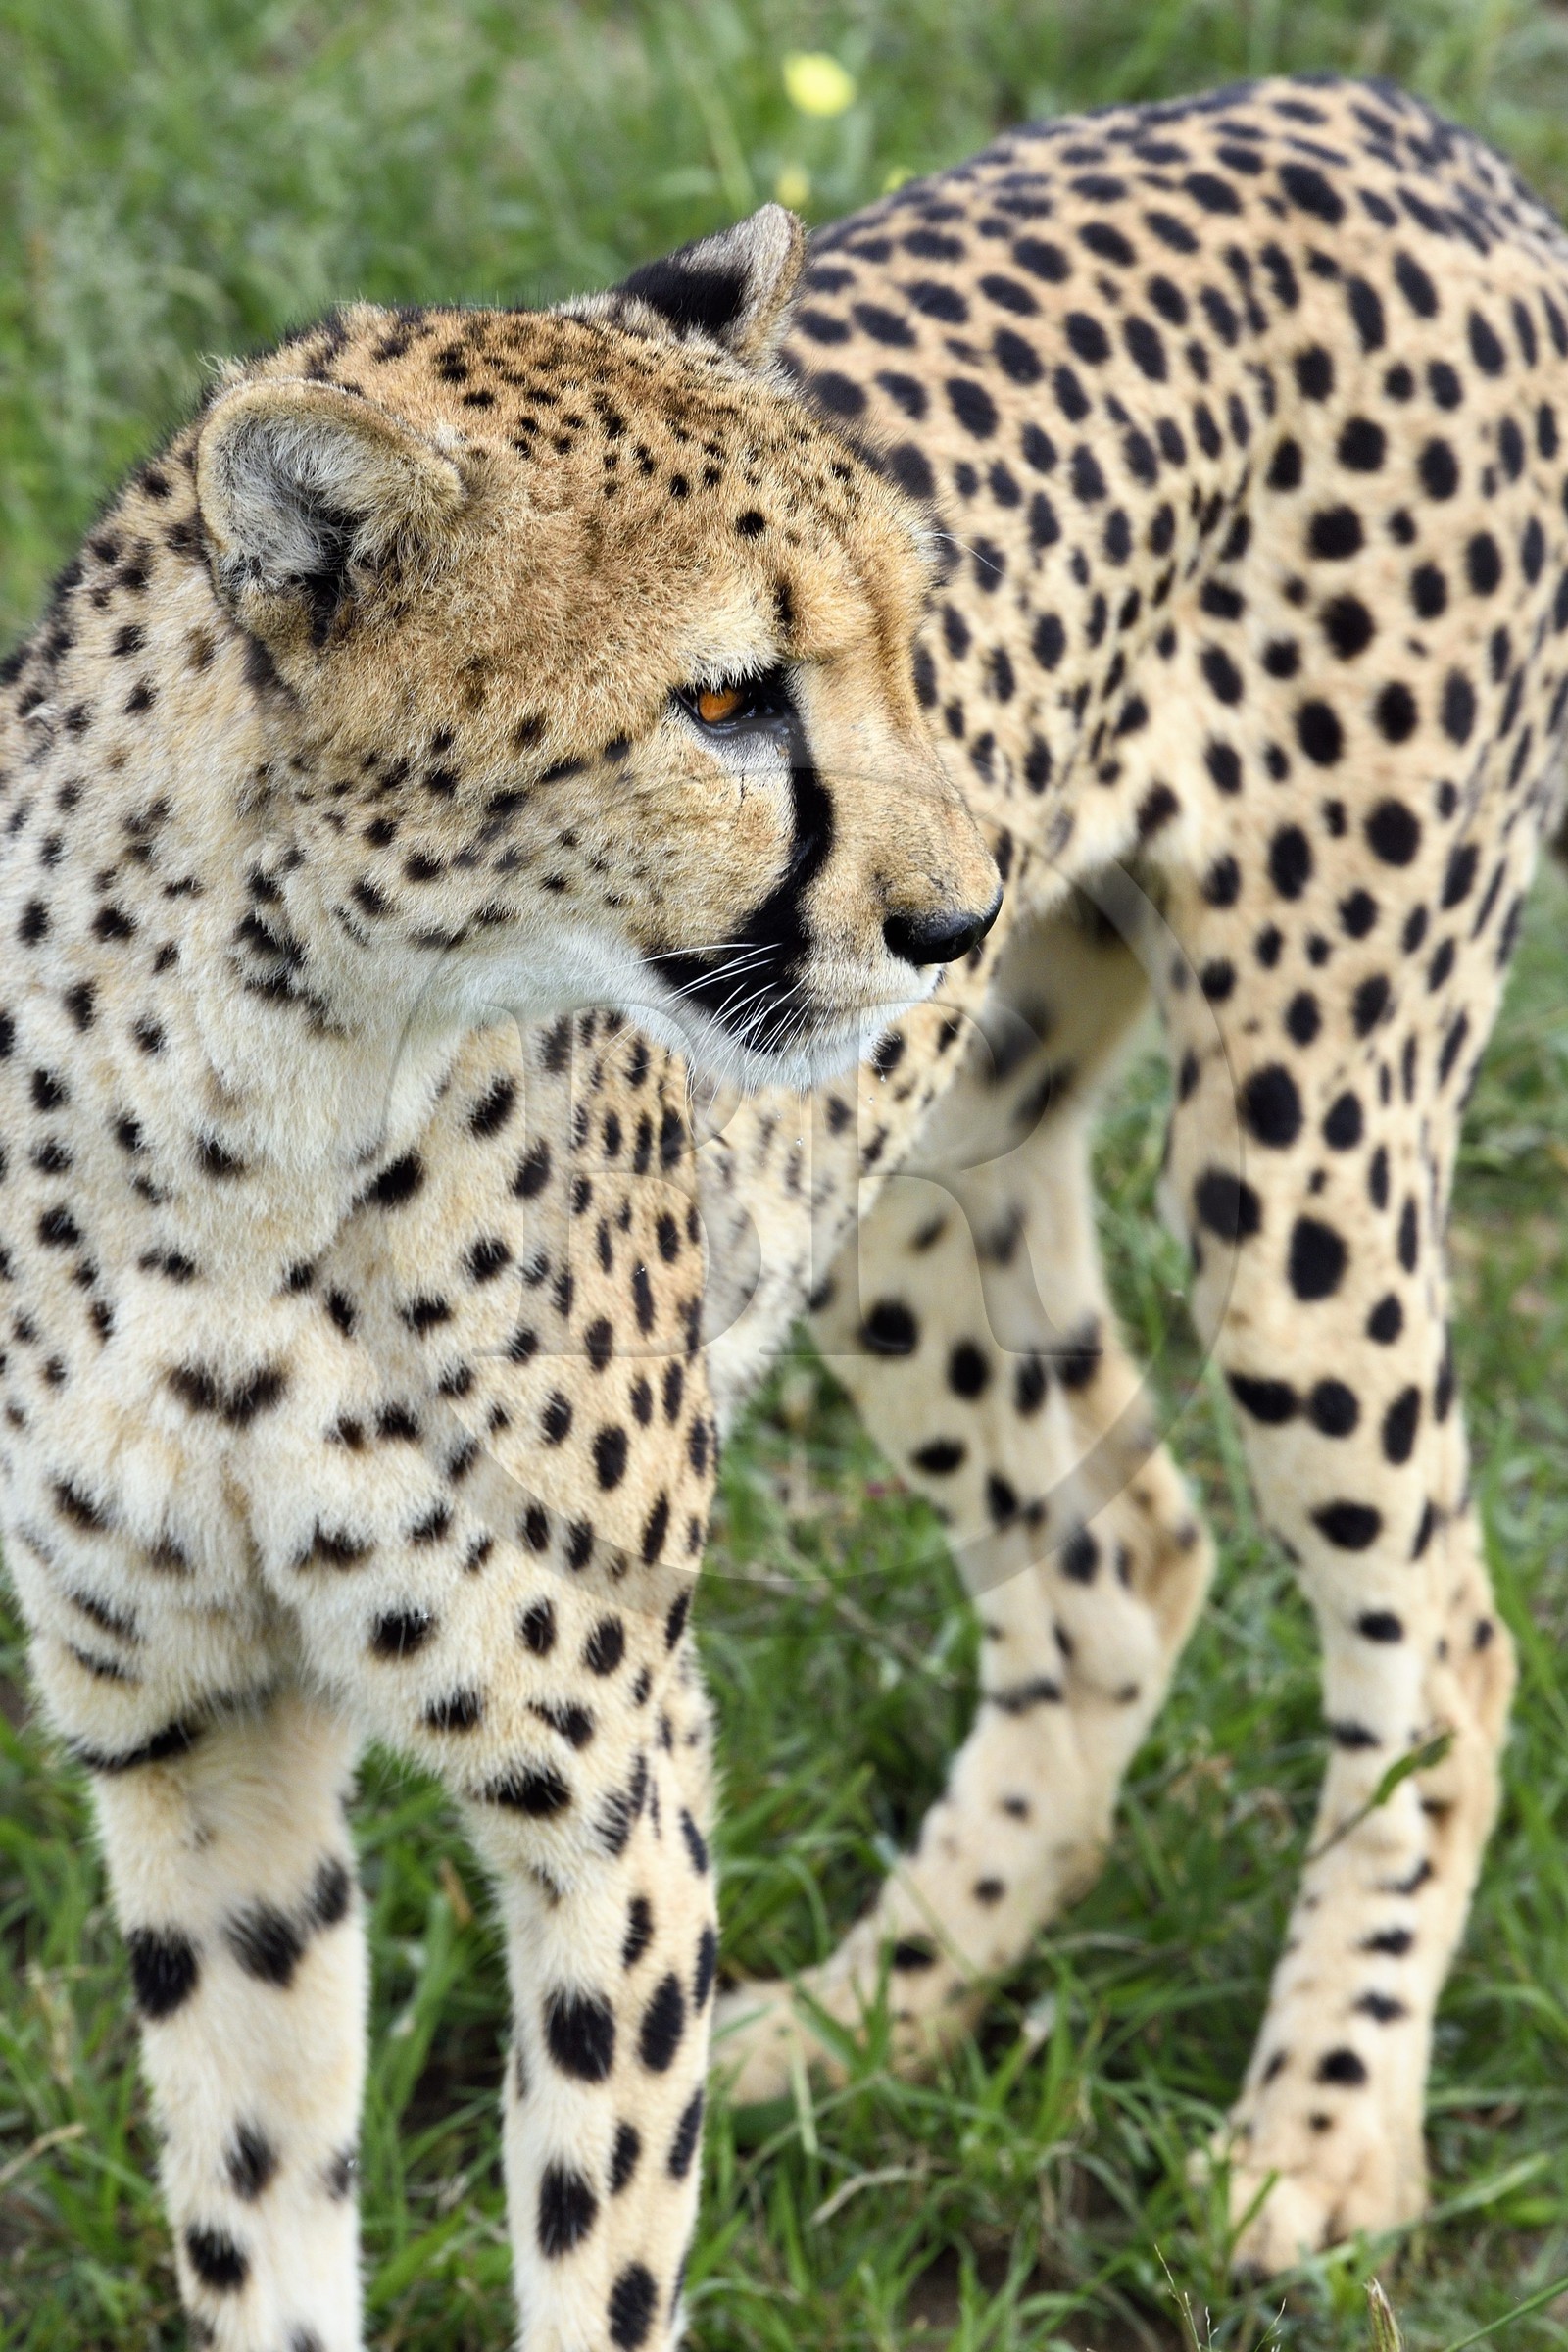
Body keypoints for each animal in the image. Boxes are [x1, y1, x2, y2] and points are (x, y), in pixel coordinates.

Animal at [3, 65, 1564, 2349]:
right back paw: (863, 2020)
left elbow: (599, 2249)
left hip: (1300, 1153)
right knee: (1118, 1559)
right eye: (725, 699)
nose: (955, 911)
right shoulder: (194, 1738)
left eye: (914, 640)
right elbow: (260, 2216)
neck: (251, 1091)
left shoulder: (604, 1774)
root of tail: (1365, 107)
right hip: (913, 1176)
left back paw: (1316, 2141)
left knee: (1440, 1636)